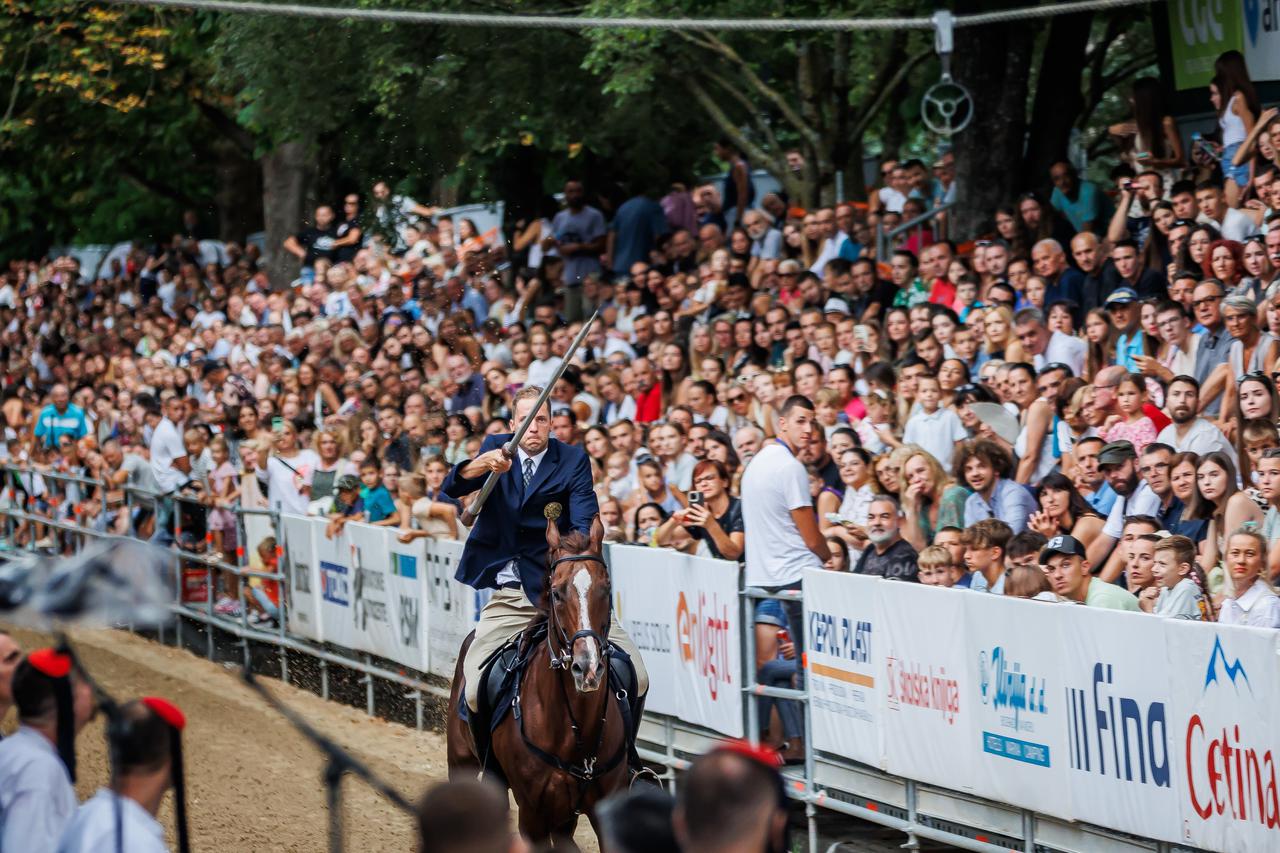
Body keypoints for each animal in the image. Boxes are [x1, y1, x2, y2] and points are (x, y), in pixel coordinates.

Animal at [448, 512, 632, 845]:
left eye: (606, 589)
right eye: (557, 593)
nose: (588, 667)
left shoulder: (605, 808)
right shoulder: (532, 814)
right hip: (461, 763)